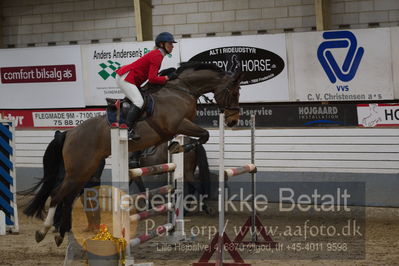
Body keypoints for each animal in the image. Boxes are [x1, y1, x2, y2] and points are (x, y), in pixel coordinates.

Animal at [24, 61, 244, 246]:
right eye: (233, 92)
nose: (233, 121)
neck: (181, 90)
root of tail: (70, 133)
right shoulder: (178, 124)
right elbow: (204, 134)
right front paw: (178, 147)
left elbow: (202, 136)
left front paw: (176, 146)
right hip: (78, 169)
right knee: (57, 194)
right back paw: (43, 231)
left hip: (85, 170)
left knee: (67, 198)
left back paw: (60, 234)